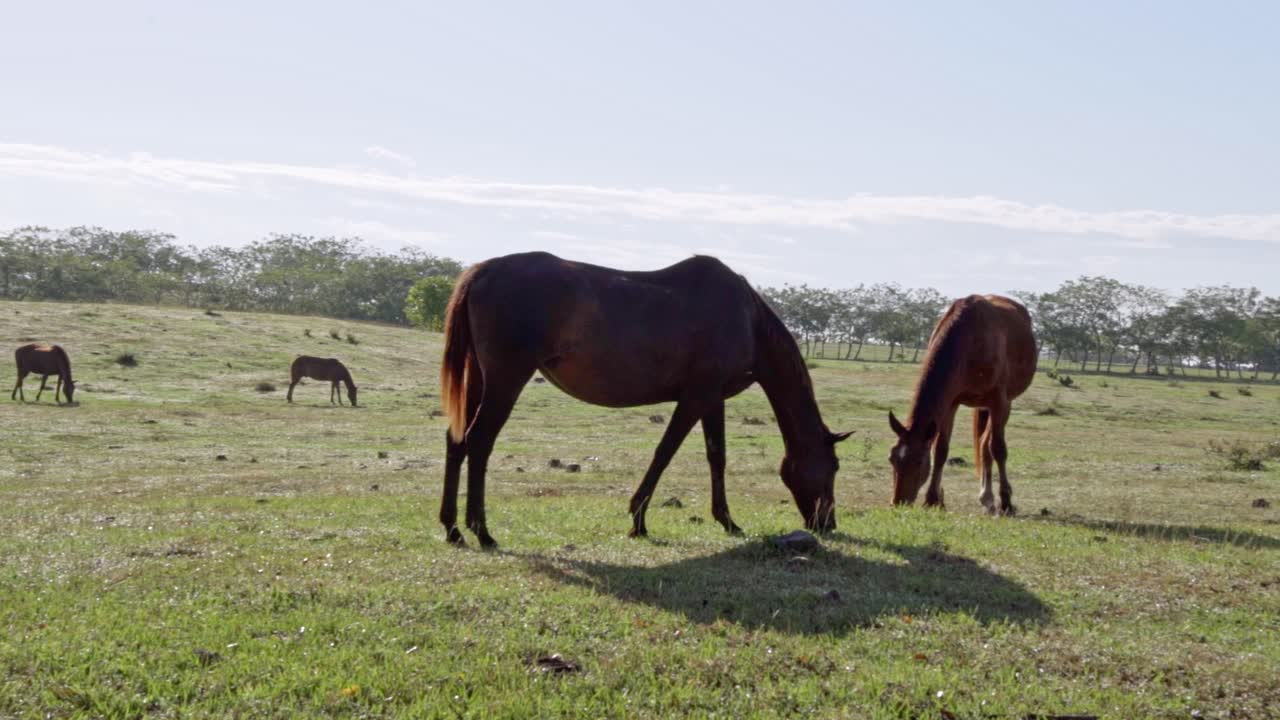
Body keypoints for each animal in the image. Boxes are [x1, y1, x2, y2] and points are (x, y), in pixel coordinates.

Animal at [438, 251, 852, 547]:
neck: (748, 319)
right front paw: (638, 520)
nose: (827, 523)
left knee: (457, 441)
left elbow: (716, 456)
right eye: (833, 466)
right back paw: (482, 531)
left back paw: (453, 528)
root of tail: (482, 272)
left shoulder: (712, 398)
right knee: (479, 441)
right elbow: (664, 452)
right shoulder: (696, 396)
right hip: (506, 380)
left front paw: (727, 521)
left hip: (479, 379)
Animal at [887, 294, 1037, 515]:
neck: (970, 338)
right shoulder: (951, 402)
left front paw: (1007, 502)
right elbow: (941, 449)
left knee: (988, 445)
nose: (898, 502)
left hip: (1004, 404)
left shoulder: (998, 401)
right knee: (983, 444)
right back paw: (986, 498)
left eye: (919, 461)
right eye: (892, 458)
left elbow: (999, 449)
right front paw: (932, 500)